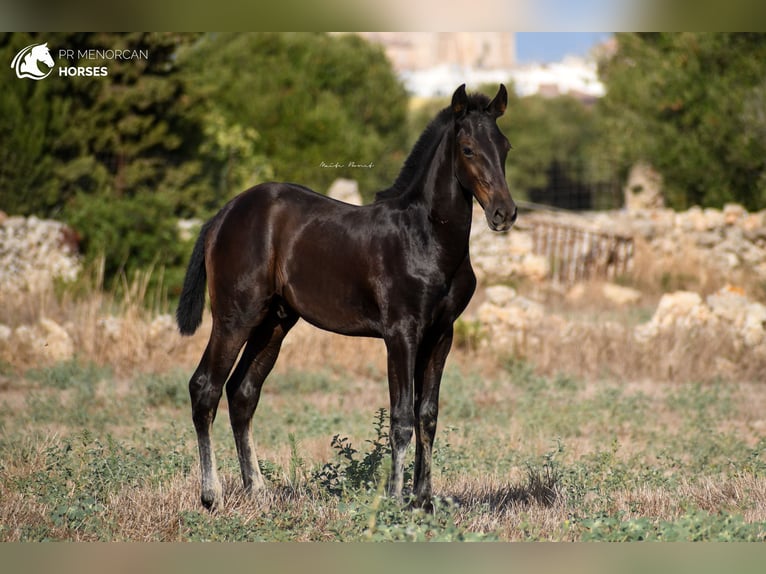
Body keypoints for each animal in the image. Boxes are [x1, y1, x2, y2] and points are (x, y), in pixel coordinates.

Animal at [177, 82, 520, 512]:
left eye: (505, 146)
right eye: (469, 149)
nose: (504, 213)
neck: (426, 237)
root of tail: (222, 215)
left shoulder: (442, 334)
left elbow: (428, 415)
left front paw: (423, 501)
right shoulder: (401, 334)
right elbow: (402, 417)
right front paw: (395, 499)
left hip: (274, 322)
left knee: (242, 393)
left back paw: (258, 491)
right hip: (234, 316)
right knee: (205, 387)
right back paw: (212, 496)